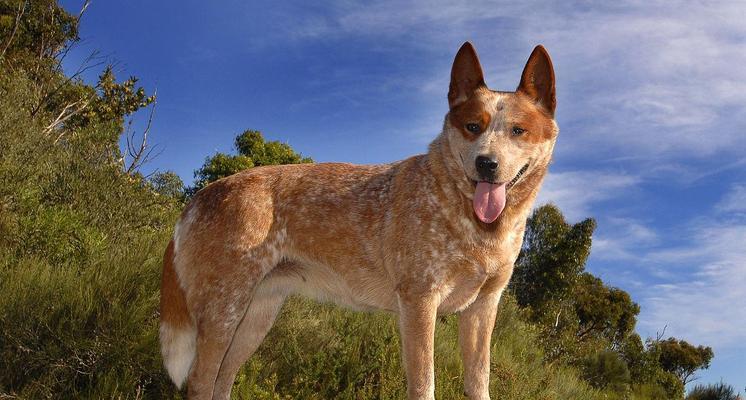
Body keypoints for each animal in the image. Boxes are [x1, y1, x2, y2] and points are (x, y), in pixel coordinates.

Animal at [160, 42, 556, 398]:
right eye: (473, 126)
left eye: (518, 130)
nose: (485, 164)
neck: (474, 225)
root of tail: (198, 198)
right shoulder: (419, 303)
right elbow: (424, 385)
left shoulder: (482, 308)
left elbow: (479, 383)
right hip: (223, 314)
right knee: (200, 382)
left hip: (255, 317)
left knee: (222, 380)